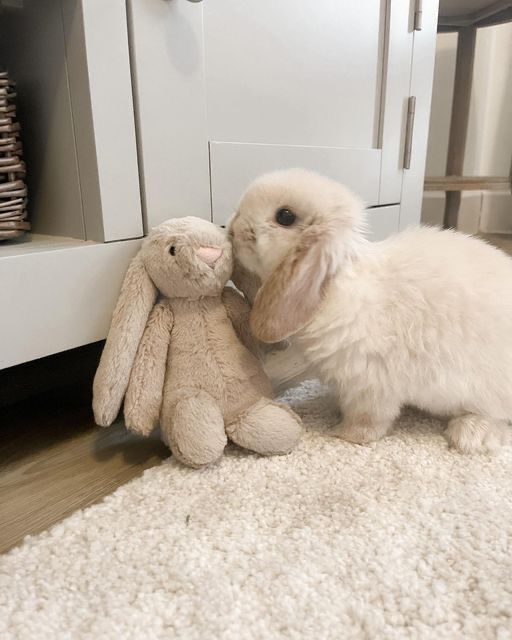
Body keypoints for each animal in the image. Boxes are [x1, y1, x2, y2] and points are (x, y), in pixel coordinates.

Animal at [230, 168, 512, 452]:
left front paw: (345, 435)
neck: (335, 284)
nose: (232, 230)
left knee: (496, 419)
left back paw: (468, 434)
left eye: (285, 216)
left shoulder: (370, 382)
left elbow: (368, 418)